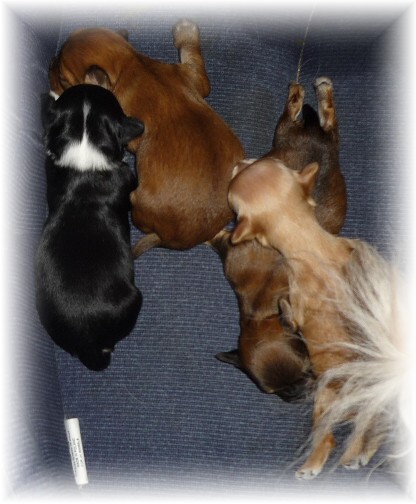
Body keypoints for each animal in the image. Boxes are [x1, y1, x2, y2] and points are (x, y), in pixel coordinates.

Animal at [49, 21, 245, 256]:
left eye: (62, 79)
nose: (49, 65)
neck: (131, 64)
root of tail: (184, 239)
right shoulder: (193, 75)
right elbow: (191, 53)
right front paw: (186, 30)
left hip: (135, 199)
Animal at [213, 78, 346, 402]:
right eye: (273, 392)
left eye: (307, 370)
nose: (296, 396)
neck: (263, 312)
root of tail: (316, 141)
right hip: (295, 138)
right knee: (329, 125)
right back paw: (319, 96)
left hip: (283, 133)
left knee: (308, 120)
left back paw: (304, 96)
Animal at [228, 157, 408, 479]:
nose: (239, 160)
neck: (311, 243)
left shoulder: (295, 300)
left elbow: (288, 314)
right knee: (375, 428)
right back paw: (361, 453)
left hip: (324, 397)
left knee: (332, 436)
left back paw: (319, 462)